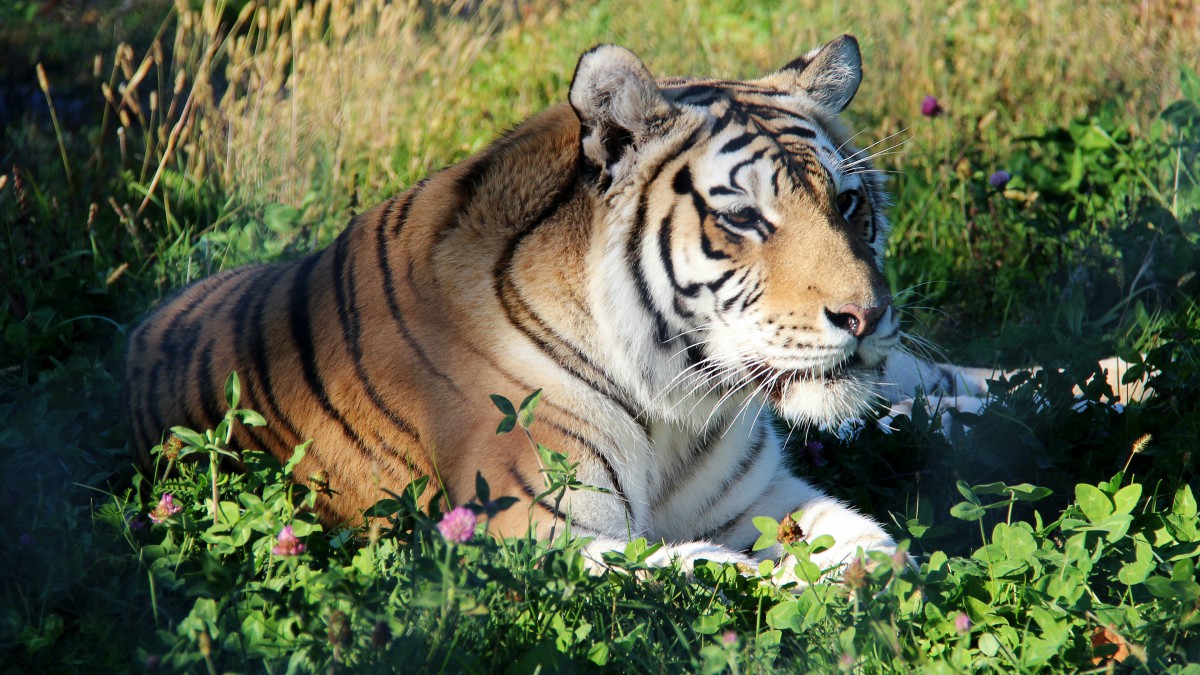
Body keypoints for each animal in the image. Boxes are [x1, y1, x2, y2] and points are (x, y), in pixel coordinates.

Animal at [121, 35, 1142, 578]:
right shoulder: (534, 534)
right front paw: (802, 589)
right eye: (744, 218)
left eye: (849, 203)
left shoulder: (766, 492)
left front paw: (861, 579)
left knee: (963, 384)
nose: (865, 316)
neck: (679, 400)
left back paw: (1119, 377)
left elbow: (872, 541)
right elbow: (701, 571)